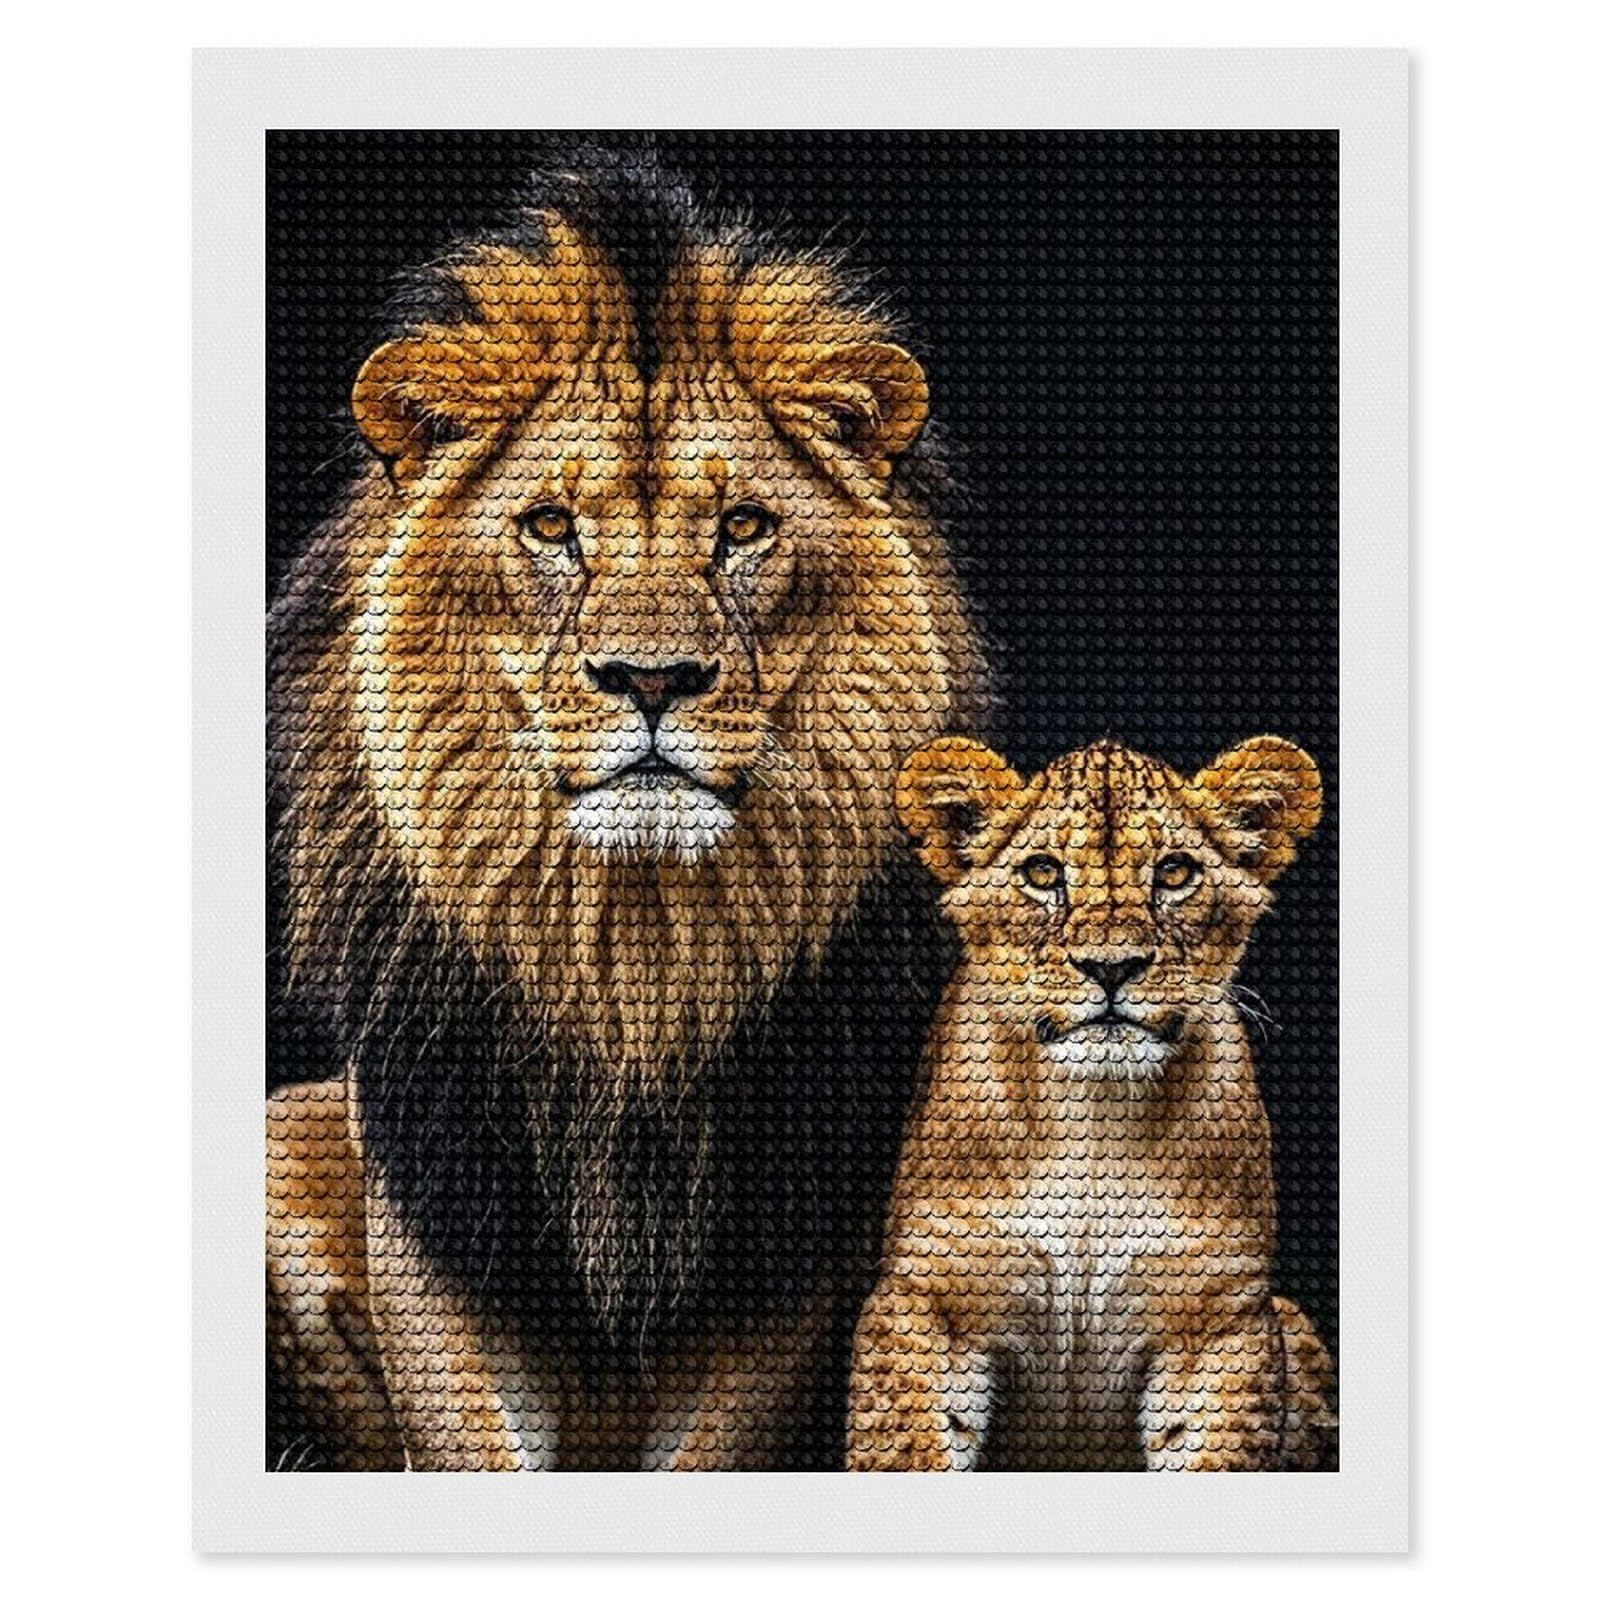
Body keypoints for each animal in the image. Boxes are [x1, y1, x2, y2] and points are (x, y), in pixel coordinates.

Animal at [266, 151, 986, 1470]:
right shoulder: (442, 1210)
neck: (634, 963)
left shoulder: (787, 1244)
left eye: (742, 527)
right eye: (552, 526)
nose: (651, 680)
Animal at [846, 735, 1337, 1471]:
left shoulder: (1222, 1318)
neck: (1094, 1125)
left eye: (1175, 871)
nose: (1111, 966)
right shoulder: (928, 1294)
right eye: (1043, 872)